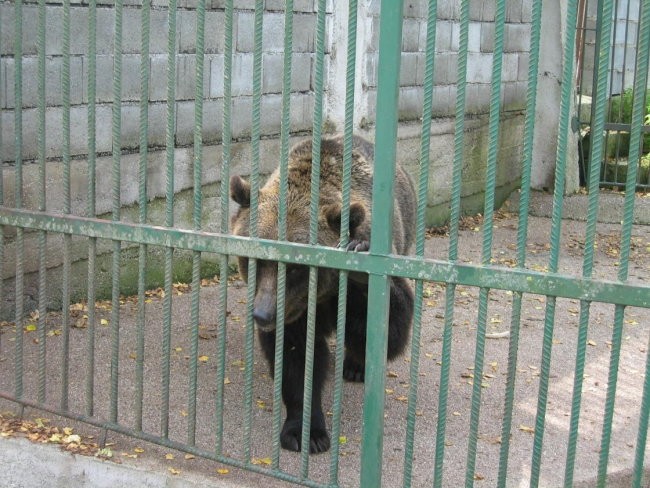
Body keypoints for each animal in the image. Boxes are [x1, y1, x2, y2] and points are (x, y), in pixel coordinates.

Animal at [230, 133, 416, 454]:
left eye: (295, 267)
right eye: (254, 260)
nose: (262, 314)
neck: (321, 294)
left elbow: (389, 328)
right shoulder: (294, 310)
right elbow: (296, 358)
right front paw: (304, 432)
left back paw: (355, 367)